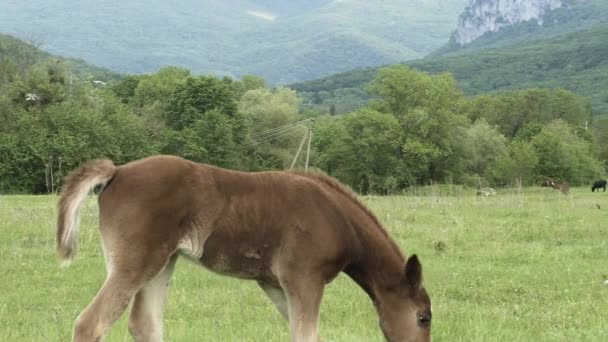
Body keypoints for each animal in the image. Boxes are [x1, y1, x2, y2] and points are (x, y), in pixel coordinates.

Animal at [54, 156, 430, 342]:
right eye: (423, 317)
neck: (339, 220)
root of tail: (117, 171)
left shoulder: (275, 283)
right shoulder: (305, 278)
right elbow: (306, 336)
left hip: (163, 261)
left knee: (144, 325)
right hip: (136, 262)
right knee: (90, 324)